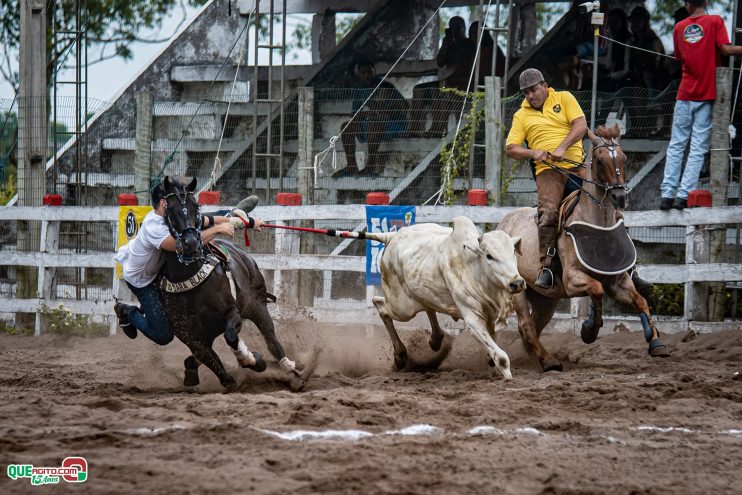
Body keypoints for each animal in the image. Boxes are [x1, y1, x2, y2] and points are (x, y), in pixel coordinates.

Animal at [161, 176, 306, 394]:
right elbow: (205, 355)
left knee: (271, 338)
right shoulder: (187, 333)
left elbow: (230, 337)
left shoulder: (232, 311)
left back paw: (291, 371)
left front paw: (252, 360)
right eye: (170, 209)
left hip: (257, 305)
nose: (191, 243)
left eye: (196, 206)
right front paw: (225, 377)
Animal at [370, 216, 528, 380]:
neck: (473, 269)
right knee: (380, 305)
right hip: (402, 308)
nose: (517, 283)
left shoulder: (493, 319)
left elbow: (491, 357)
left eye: (513, 252)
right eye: (489, 256)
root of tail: (392, 236)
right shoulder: (474, 321)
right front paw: (508, 379)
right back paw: (400, 356)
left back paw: (436, 340)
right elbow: (501, 357)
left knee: (427, 307)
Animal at [496, 125, 672, 372]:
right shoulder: (572, 279)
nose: (619, 196)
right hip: (518, 291)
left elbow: (640, 301)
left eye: (624, 157)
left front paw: (656, 342)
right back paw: (549, 361)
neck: (600, 225)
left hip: (546, 298)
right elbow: (596, 290)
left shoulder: (618, 281)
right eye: (599, 160)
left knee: (535, 325)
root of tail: (503, 223)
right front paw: (589, 329)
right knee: (526, 325)